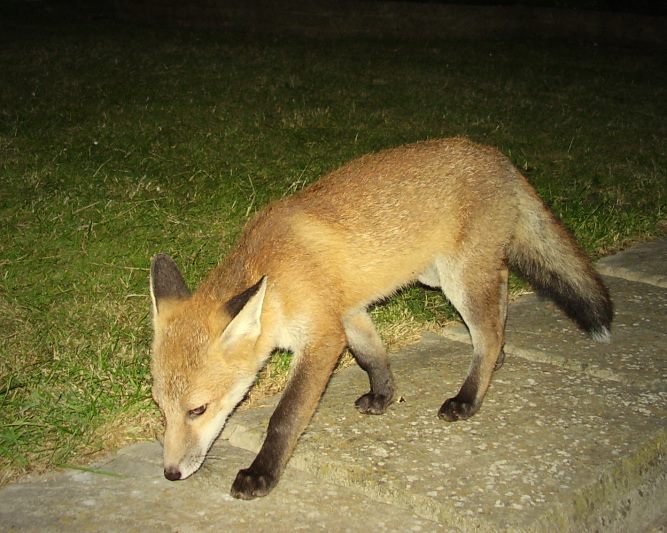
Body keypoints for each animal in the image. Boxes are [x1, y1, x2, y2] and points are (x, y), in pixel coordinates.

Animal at [149, 136, 612, 498]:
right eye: (161, 409)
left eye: (198, 410)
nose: (170, 473)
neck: (276, 277)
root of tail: (496, 155)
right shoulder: (347, 313)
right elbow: (372, 355)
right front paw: (384, 395)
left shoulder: (321, 338)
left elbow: (285, 417)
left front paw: (261, 473)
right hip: (443, 273)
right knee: (498, 296)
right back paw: (494, 362)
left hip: (457, 278)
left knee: (488, 331)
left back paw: (469, 397)